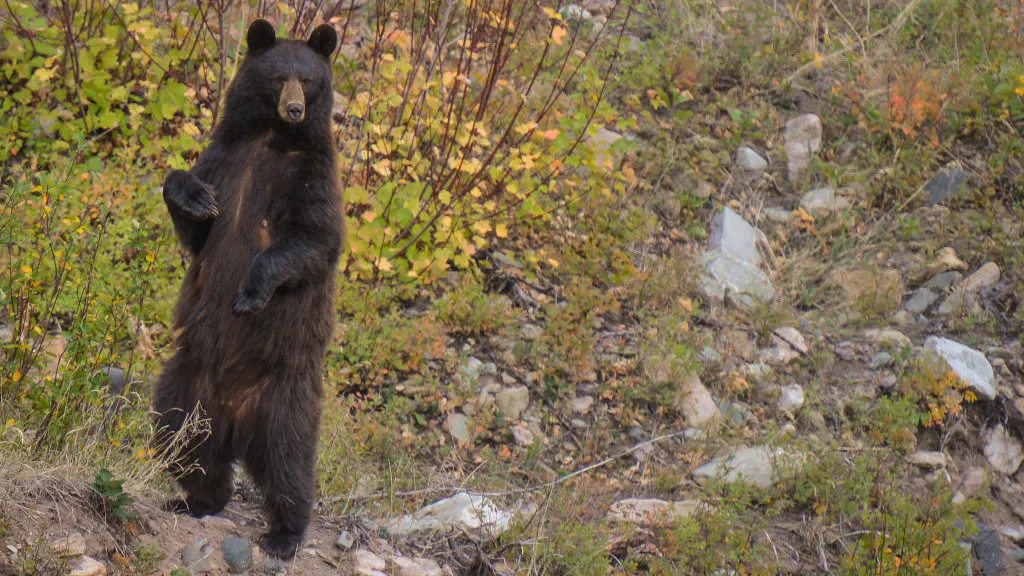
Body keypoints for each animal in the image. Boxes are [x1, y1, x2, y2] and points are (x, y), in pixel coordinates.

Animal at [153, 19, 343, 559]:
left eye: (309, 79)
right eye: (279, 77)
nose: (295, 108)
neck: (270, 138)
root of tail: (236, 418)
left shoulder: (313, 174)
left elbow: (314, 238)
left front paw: (252, 291)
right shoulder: (226, 156)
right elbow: (197, 225)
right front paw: (194, 198)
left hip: (283, 395)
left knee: (288, 461)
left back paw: (284, 533)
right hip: (186, 382)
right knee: (182, 438)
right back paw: (195, 499)